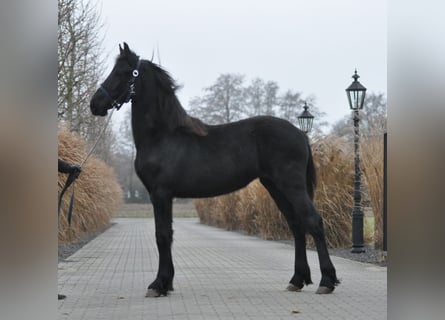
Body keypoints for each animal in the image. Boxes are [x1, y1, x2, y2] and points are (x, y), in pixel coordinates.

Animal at [91, 42, 340, 298]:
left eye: (121, 72)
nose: (95, 104)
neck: (162, 136)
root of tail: (300, 133)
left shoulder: (160, 194)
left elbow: (162, 235)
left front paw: (157, 284)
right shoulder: (163, 195)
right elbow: (167, 234)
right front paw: (166, 283)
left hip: (291, 186)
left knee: (314, 222)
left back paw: (326, 281)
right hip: (275, 187)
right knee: (296, 225)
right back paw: (297, 280)